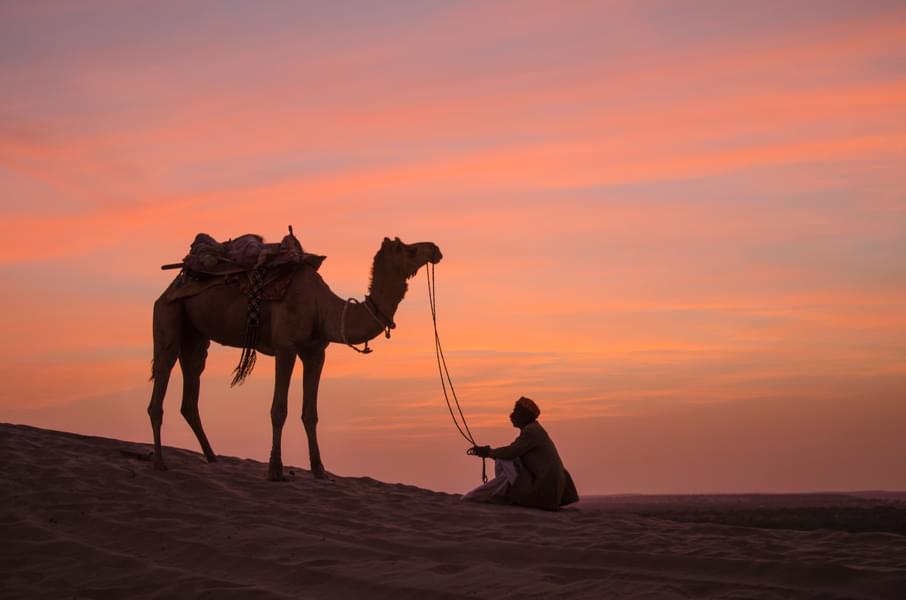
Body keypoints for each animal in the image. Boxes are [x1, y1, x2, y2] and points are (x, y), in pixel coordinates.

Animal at [147, 237, 440, 480]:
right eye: (406, 248)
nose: (435, 249)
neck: (321, 308)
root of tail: (172, 285)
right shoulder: (285, 347)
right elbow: (279, 409)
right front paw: (275, 470)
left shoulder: (315, 352)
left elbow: (310, 413)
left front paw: (319, 469)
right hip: (168, 315)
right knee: (162, 375)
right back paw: (160, 462)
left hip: (196, 337)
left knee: (190, 390)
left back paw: (212, 459)